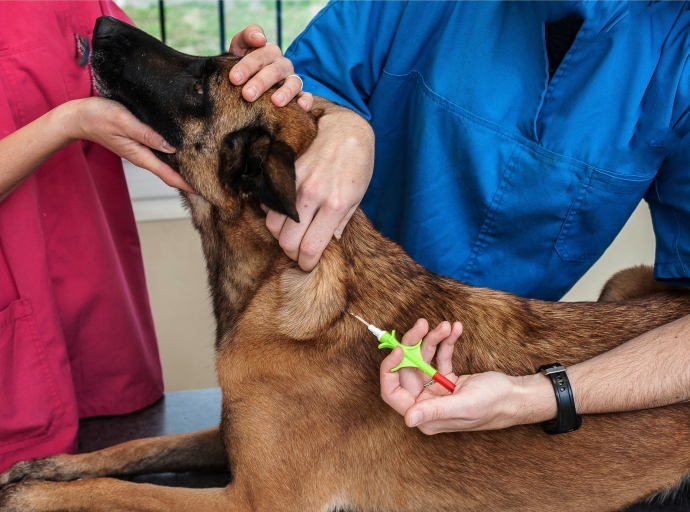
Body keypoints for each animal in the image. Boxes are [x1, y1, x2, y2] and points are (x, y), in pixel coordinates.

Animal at [1, 17, 688, 512]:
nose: (100, 25)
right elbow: (143, 445)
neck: (282, 283)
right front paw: (50, 465)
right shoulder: (229, 437)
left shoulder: (249, 502)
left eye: (201, 81)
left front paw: (36, 495)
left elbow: (123, 492)